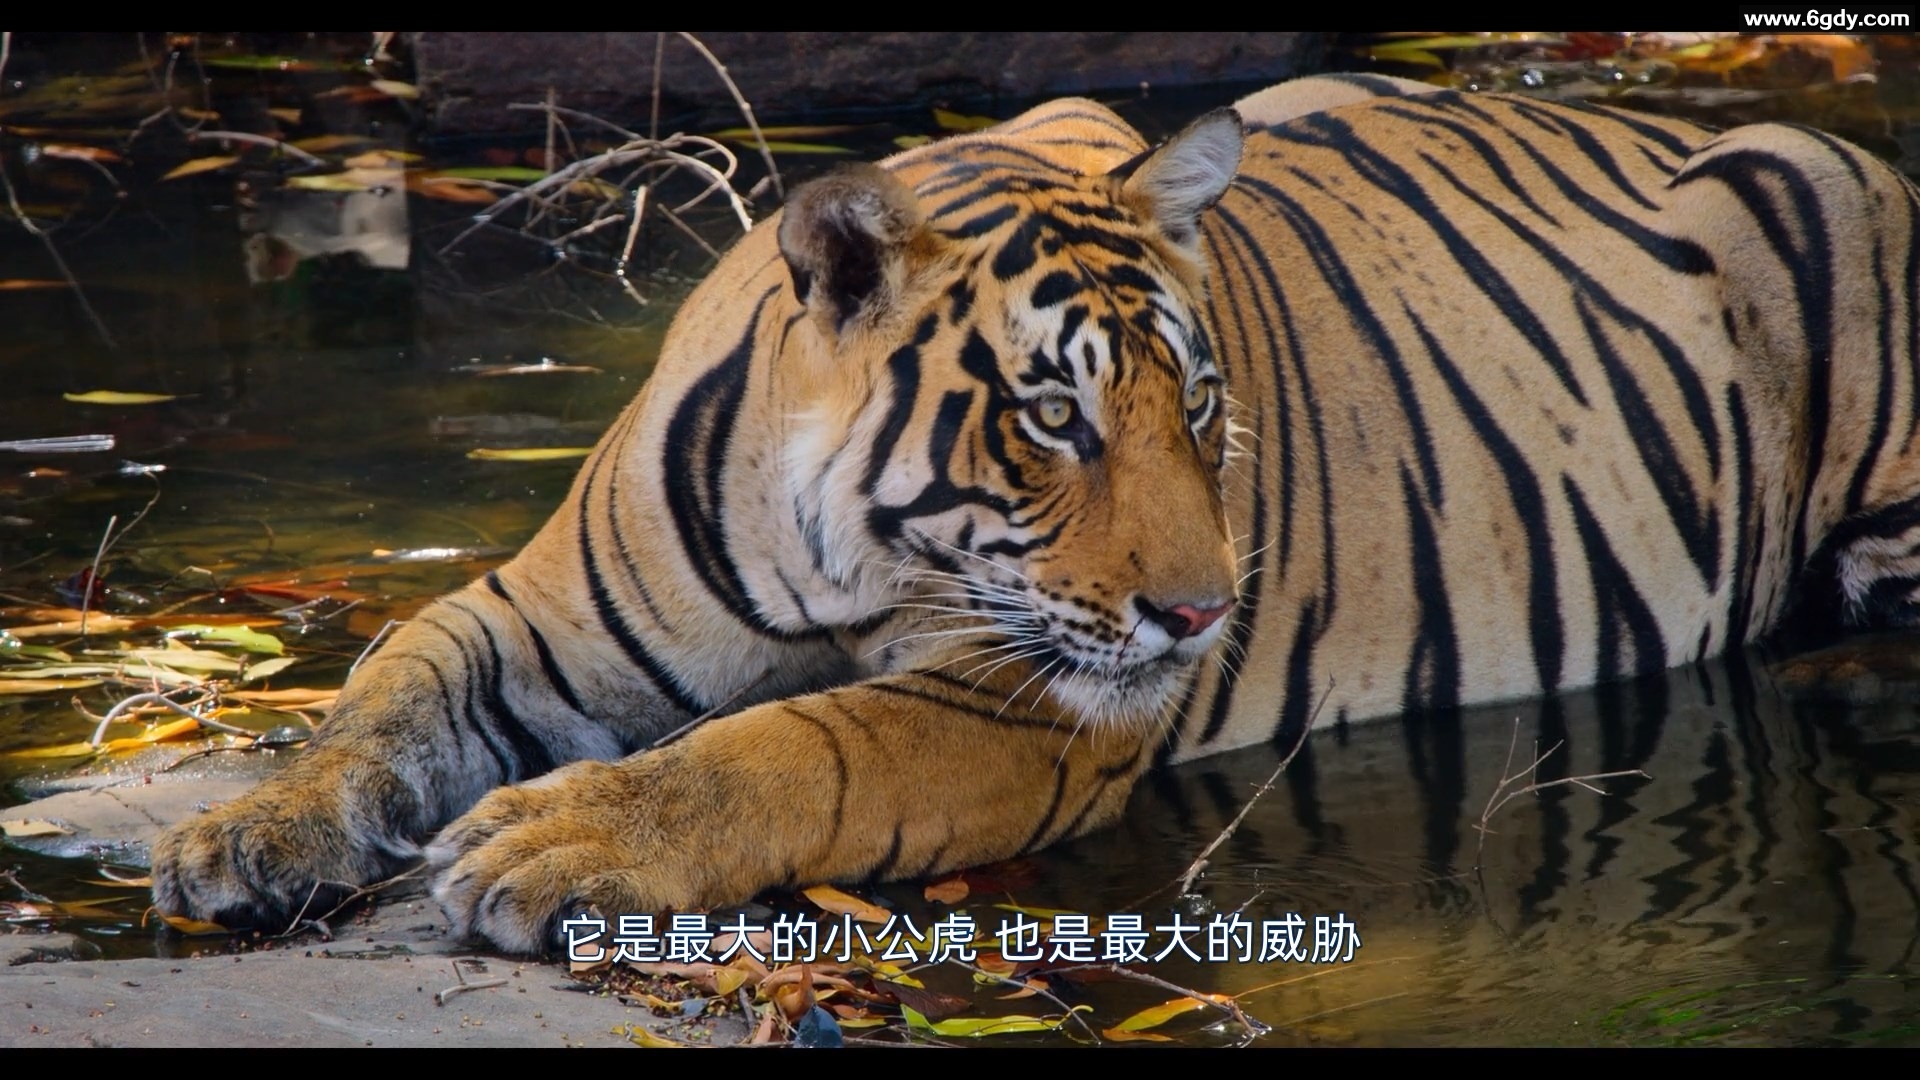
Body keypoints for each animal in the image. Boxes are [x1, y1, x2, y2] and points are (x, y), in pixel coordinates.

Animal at [148, 72, 1920, 957]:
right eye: (1054, 416)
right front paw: (247, 832)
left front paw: (562, 840)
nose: (1204, 616)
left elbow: (790, 747)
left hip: (1814, 221)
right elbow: (384, 694)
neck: (828, 553)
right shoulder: (528, 618)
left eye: (1197, 405)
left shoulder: (1026, 708)